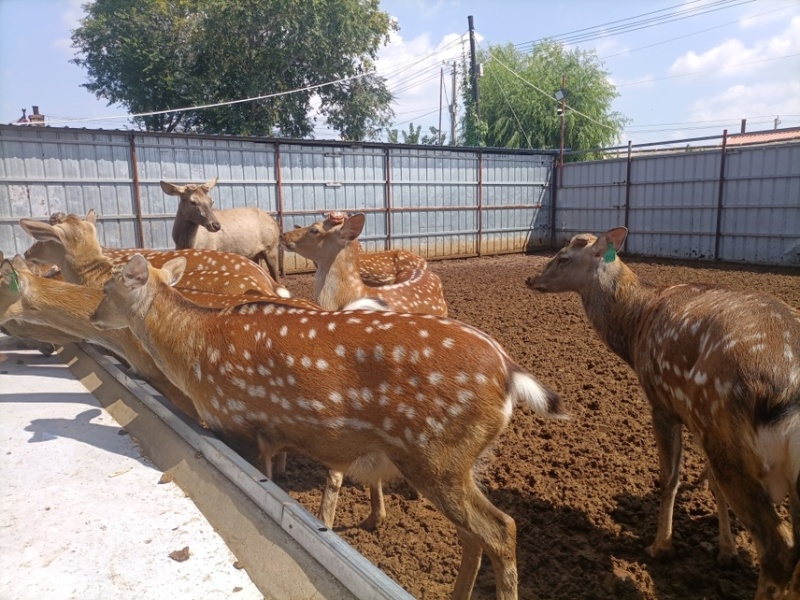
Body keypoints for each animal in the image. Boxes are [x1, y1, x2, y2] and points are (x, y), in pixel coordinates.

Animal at [89, 252, 567, 600]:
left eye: (109, 287)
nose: (92, 317)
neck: (193, 348)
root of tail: (509, 373)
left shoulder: (241, 426)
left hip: (435, 451)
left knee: (499, 529)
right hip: (459, 459)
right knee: (474, 534)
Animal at [526, 226, 800, 600]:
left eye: (563, 257)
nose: (530, 278)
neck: (634, 330)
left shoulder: (662, 401)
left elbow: (669, 477)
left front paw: (661, 546)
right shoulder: (701, 422)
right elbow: (711, 484)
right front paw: (725, 552)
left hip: (728, 433)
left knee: (778, 552)